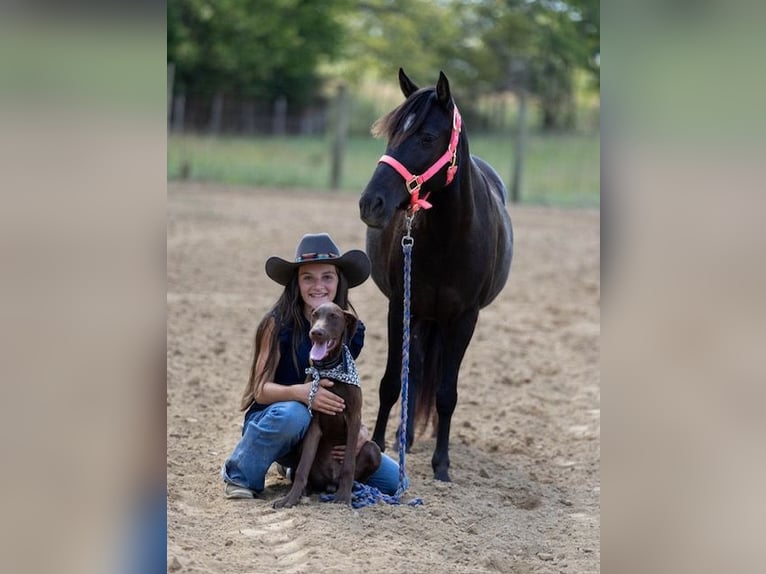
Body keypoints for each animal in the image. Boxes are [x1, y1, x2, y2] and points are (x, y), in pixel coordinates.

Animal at [358, 68, 514, 482]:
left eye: (426, 137)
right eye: (392, 134)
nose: (370, 203)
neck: (449, 236)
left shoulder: (464, 319)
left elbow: (446, 394)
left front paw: (442, 466)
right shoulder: (400, 306)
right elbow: (392, 382)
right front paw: (378, 447)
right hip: (419, 315)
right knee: (412, 373)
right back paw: (405, 437)